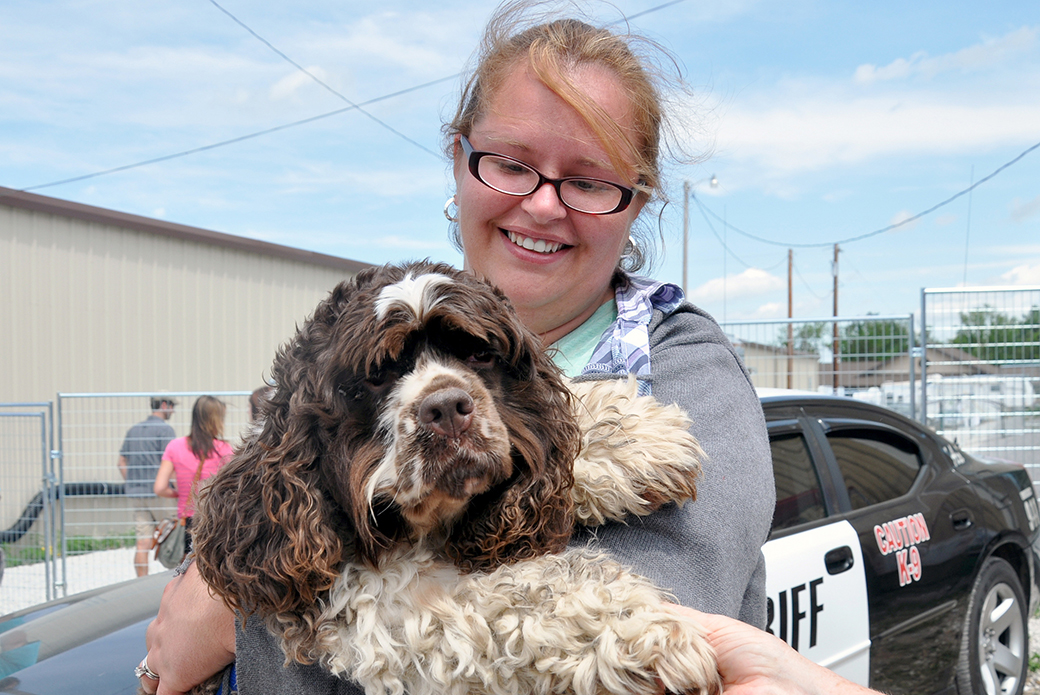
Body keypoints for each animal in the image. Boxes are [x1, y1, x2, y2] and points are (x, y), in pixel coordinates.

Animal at [191, 260, 719, 695]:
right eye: (376, 377)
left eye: (479, 356)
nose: (446, 407)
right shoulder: (374, 595)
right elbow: (521, 596)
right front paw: (642, 629)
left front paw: (639, 434)